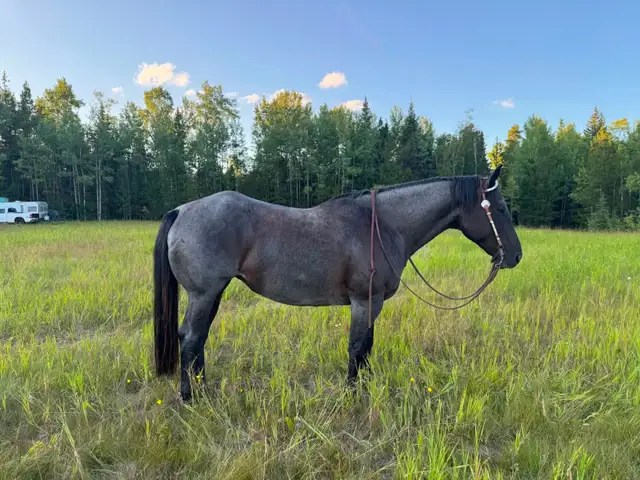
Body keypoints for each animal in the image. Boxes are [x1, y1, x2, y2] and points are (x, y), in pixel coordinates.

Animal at [153, 165, 522, 401]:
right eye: (501, 208)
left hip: (213, 294)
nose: (516, 256)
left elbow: (367, 347)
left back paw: (201, 387)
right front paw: (353, 394)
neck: (380, 225)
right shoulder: (365, 301)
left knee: (199, 339)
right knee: (190, 338)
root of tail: (181, 210)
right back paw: (191, 397)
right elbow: (357, 347)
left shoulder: (371, 303)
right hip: (203, 294)